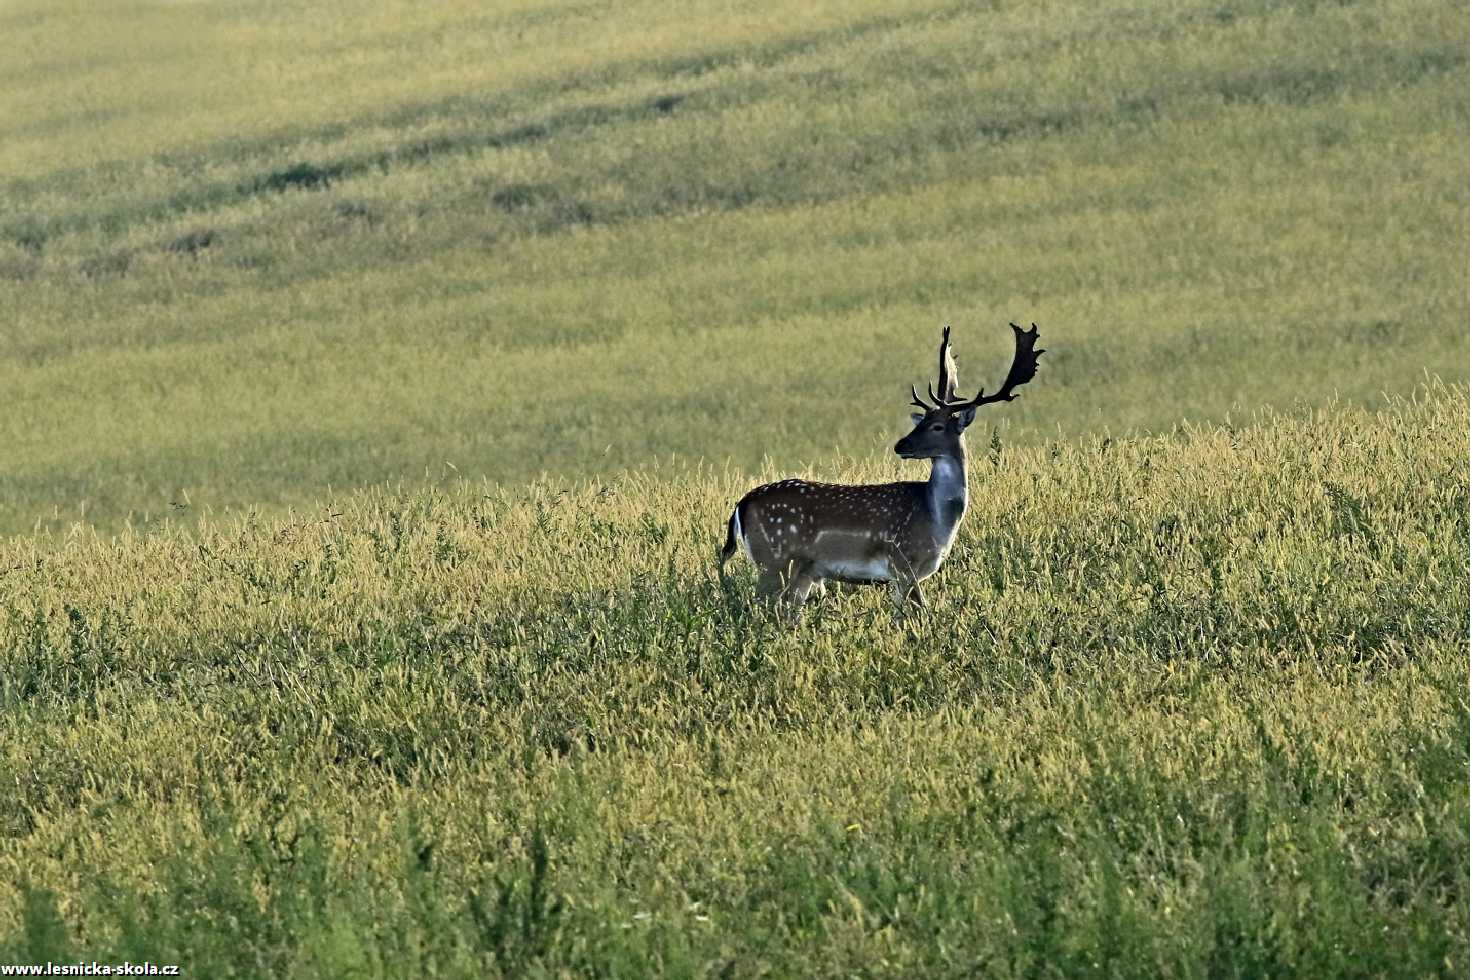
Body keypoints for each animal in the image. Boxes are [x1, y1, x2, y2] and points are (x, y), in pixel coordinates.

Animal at [714, 321, 1040, 614]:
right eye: (922, 421)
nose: (901, 445)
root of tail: (740, 506)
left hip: (802, 570)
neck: (937, 519)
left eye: (935, 426)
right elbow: (921, 614)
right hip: (773, 559)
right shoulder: (902, 559)